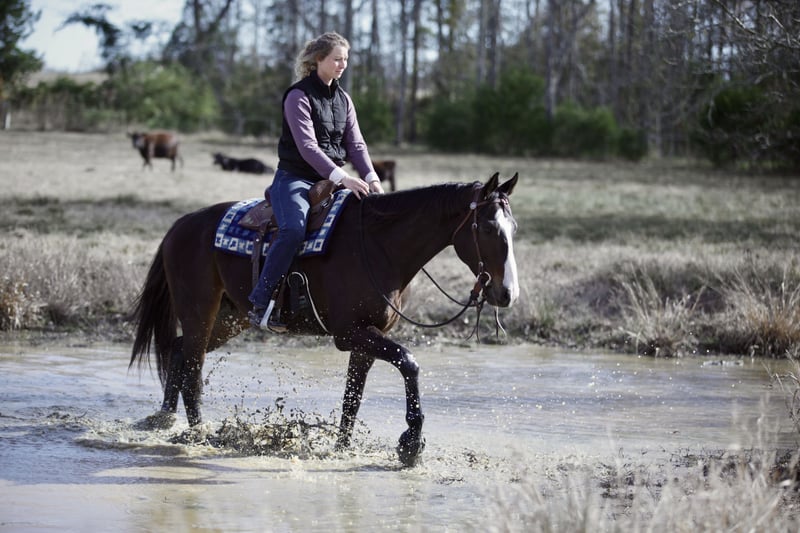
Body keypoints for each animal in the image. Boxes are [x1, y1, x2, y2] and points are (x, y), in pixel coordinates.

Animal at [129, 172, 519, 466]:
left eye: (512, 228)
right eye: (487, 228)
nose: (507, 294)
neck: (378, 247)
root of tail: (180, 225)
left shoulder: (366, 338)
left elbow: (352, 398)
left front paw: (341, 448)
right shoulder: (349, 333)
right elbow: (409, 362)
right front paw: (411, 443)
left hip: (228, 318)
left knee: (180, 350)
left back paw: (165, 419)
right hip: (200, 311)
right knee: (193, 367)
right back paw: (197, 434)